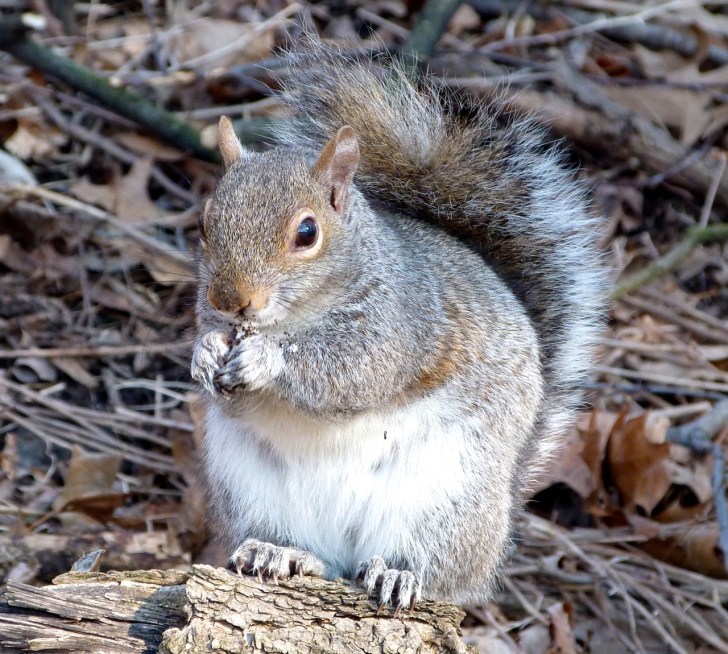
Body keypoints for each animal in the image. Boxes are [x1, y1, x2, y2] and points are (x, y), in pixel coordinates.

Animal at [191, 44, 606, 611]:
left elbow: (354, 374)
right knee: (322, 561)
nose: (231, 301)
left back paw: (396, 573)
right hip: (251, 493)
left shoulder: (401, 324)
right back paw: (279, 553)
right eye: (205, 222)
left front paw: (265, 358)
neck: (294, 319)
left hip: (447, 498)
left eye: (307, 232)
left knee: (431, 571)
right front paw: (205, 352)